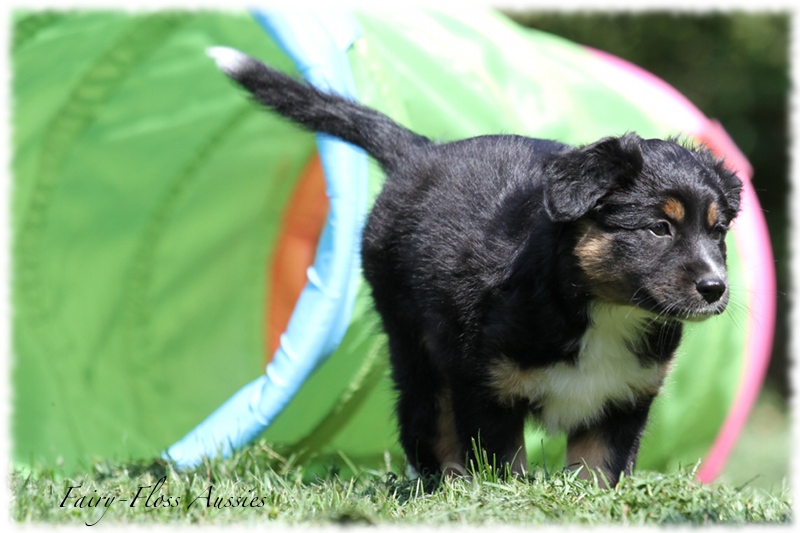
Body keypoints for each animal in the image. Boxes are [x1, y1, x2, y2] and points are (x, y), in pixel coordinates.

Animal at [208, 47, 744, 484]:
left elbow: (599, 467)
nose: (715, 288)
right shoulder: (484, 383)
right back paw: (445, 486)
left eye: (717, 232)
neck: (599, 310)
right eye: (659, 228)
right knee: (427, 424)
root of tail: (421, 152)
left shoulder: (626, 396)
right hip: (416, 349)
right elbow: (503, 460)